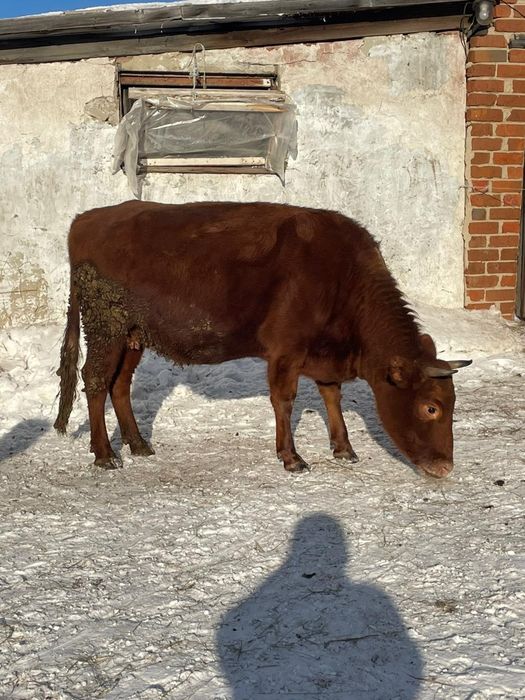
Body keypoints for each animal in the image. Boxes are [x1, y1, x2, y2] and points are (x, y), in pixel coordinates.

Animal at [54, 201, 470, 477]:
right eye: (430, 407)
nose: (446, 467)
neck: (342, 276)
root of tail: (86, 218)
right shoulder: (286, 351)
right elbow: (284, 401)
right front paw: (292, 457)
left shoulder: (324, 355)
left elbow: (332, 396)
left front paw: (344, 448)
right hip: (106, 328)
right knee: (95, 381)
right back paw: (105, 454)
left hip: (133, 336)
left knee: (119, 385)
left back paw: (139, 445)